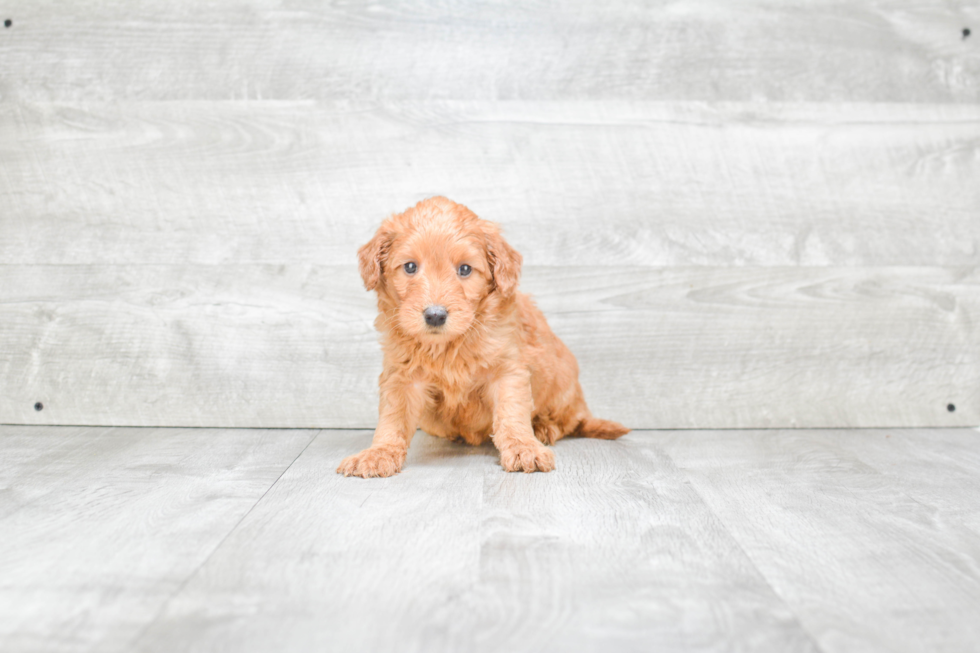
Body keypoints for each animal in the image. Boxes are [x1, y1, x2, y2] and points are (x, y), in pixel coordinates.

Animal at [336, 196, 628, 476]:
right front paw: (378, 453)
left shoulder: (507, 369)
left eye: (465, 270)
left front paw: (524, 448)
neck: (447, 346)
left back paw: (544, 428)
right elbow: (393, 419)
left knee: (569, 422)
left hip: (563, 382)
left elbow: (512, 413)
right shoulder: (402, 377)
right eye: (410, 267)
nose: (435, 315)